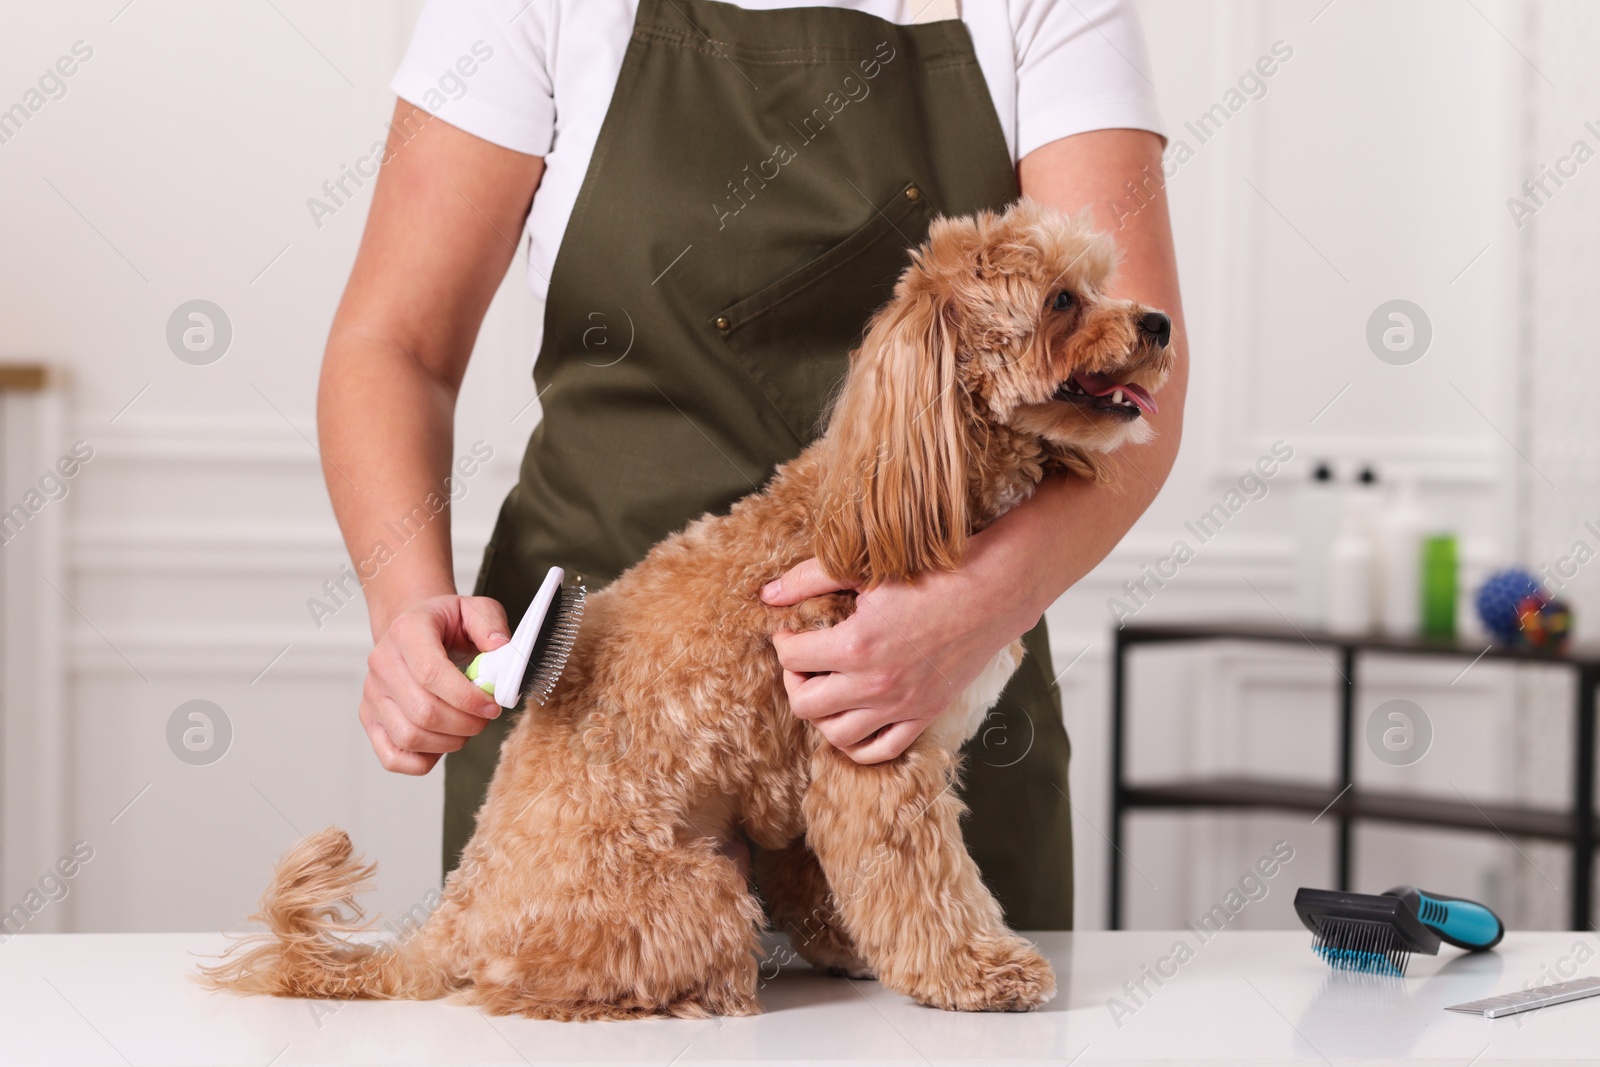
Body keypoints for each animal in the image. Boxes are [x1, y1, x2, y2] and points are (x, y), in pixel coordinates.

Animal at [203, 198, 1177, 1017]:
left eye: (1101, 281)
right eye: (1060, 301)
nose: (1161, 322)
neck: (895, 500)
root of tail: (459, 906)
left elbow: (823, 873)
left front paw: (852, 947)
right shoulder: (870, 754)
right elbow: (923, 883)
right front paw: (981, 970)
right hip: (695, 892)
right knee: (519, 983)